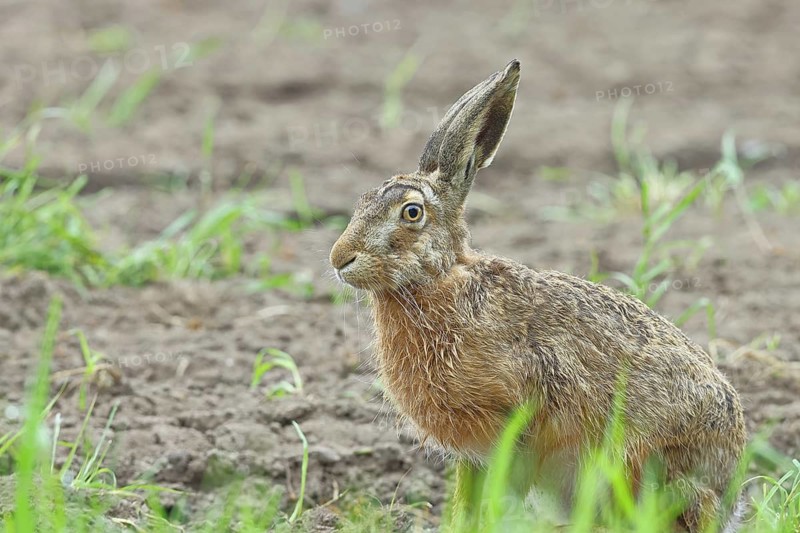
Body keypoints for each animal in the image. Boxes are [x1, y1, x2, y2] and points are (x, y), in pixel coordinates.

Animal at [329, 60, 746, 532]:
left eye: (412, 213)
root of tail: (727, 497)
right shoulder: (475, 449)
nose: (339, 258)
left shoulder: (517, 416)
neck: (440, 280)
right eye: (362, 201)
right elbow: (467, 498)